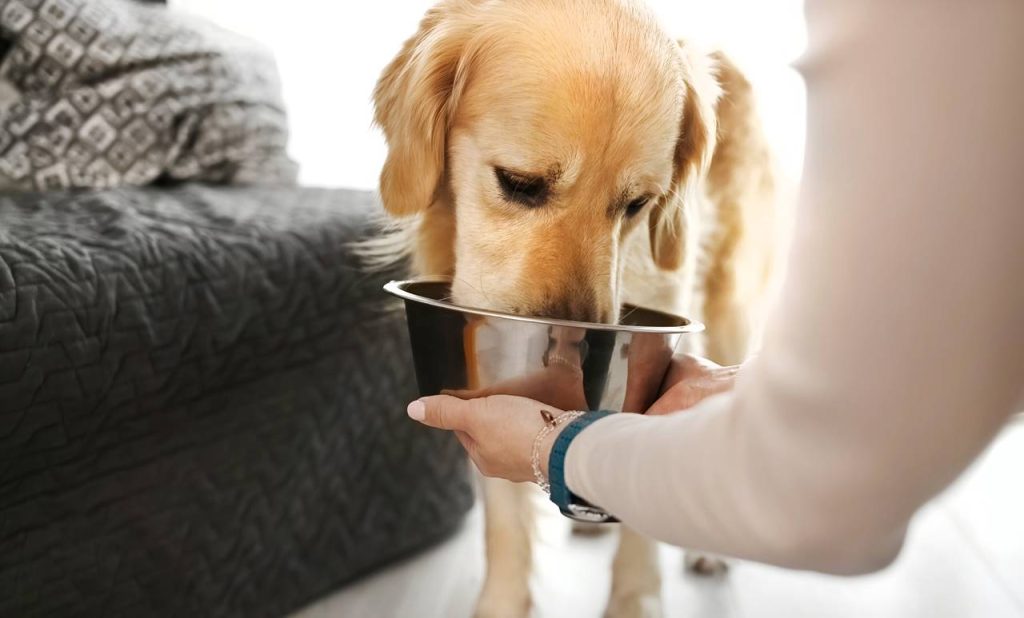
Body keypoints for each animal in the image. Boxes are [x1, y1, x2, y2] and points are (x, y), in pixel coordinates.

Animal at [374, 1, 774, 618]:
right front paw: (502, 602)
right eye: (519, 183)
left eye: (638, 204)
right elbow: (505, 526)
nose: (567, 345)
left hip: (731, 299)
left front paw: (635, 599)